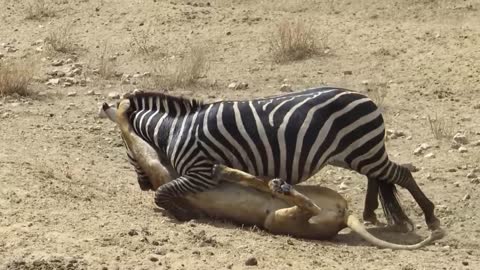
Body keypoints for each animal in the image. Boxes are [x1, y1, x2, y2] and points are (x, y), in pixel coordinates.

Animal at [123, 86, 438, 230]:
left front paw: (183, 212)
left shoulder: (200, 173)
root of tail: (366, 98)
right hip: (359, 153)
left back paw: (430, 216)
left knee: (401, 174)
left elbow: (164, 192)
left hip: (363, 150)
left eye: (126, 151)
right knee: (377, 176)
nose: (142, 185)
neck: (174, 130)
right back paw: (371, 212)